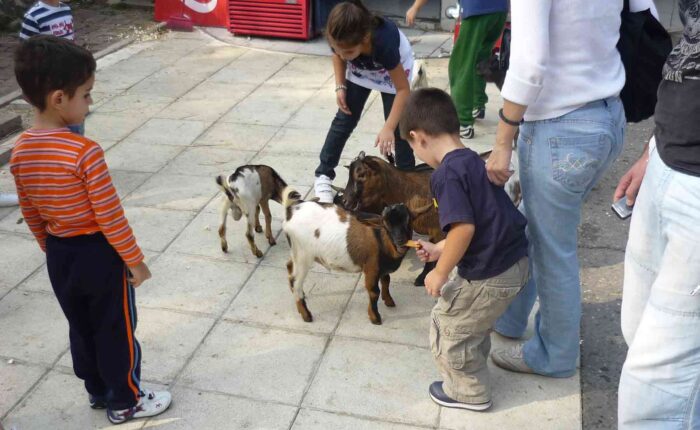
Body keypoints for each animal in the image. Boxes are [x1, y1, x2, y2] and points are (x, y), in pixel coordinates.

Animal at [284, 190, 430, 324]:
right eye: (386, 224)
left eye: (408, 222)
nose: (400, 240)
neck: (381, 239)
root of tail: (291, 211)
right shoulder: (371, 268)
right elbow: (374, 292)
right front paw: (375, 318)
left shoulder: (382, 268)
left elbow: (386, 280)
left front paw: (388, 301)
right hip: (303, 256)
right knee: (296, 280)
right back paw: (306, 315)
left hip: (296, 253)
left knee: (289, 267)